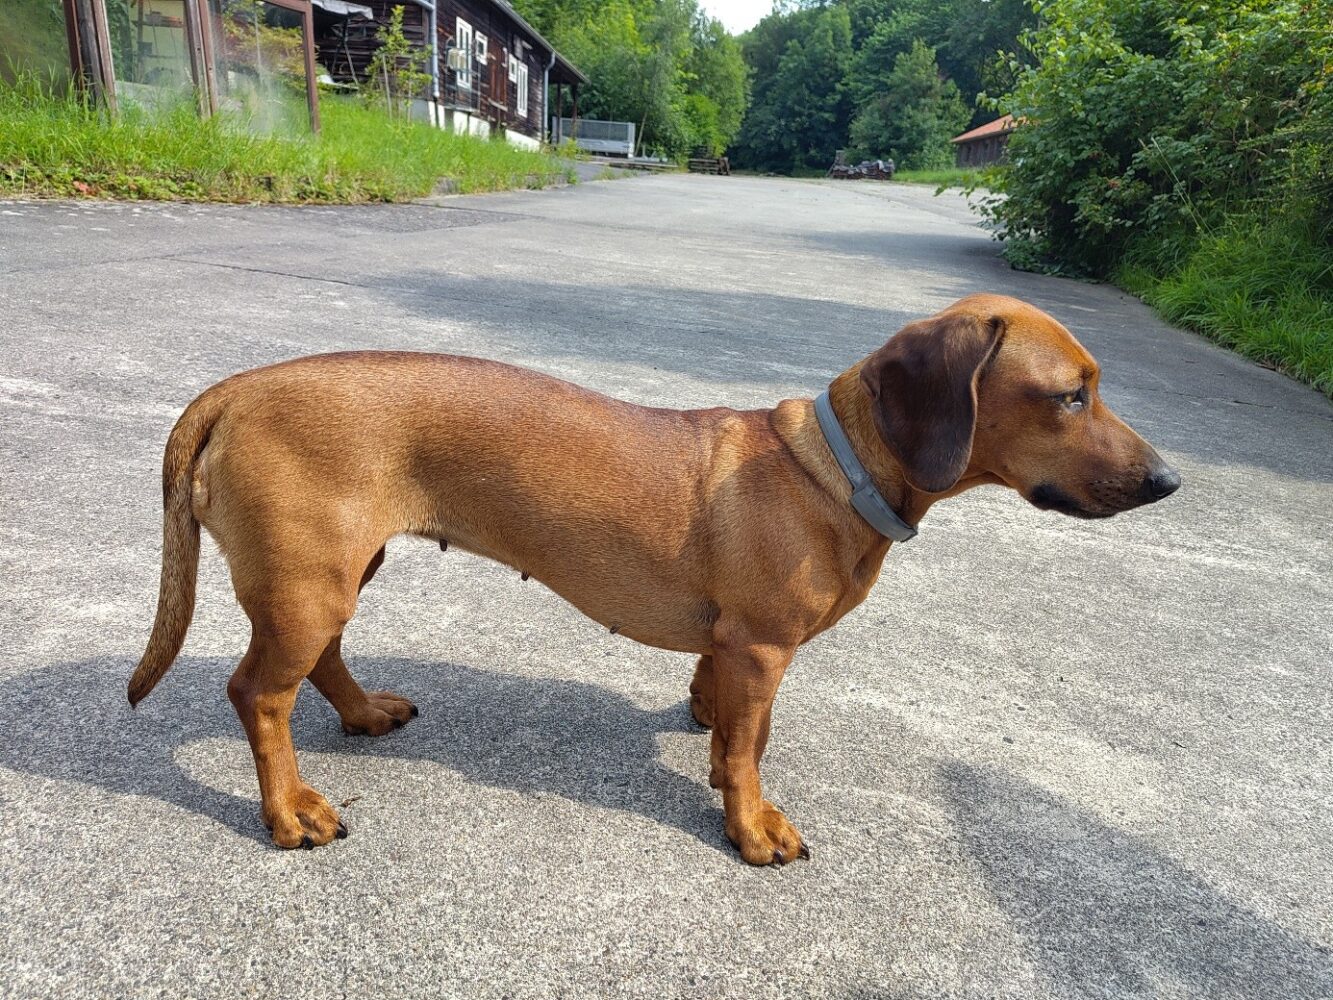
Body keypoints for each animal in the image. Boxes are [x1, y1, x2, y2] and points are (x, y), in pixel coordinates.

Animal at [129, 293, 1180, 864]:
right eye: (1070, 396)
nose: (1168, 481)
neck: (830, 467)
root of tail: (233, 391)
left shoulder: (736, 650)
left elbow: (729, 724)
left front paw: (713, 750)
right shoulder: (761, 646)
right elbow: (750, 749)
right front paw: (751, 824)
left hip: (336, 572)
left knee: (319, 661)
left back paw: (359, 714)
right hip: (310, 582)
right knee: (258, 694)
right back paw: (289, 812)